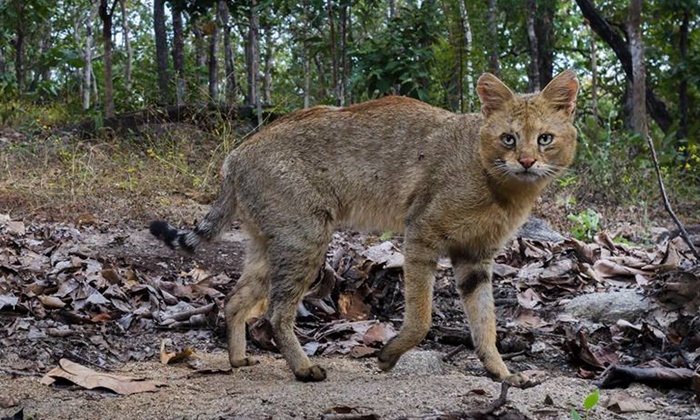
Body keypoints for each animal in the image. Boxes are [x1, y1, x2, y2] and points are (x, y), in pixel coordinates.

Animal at [149, 69, 580, 384]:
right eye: (508, 139)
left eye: (545, 139)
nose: (526, 161)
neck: (500, 187)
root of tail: (235, 155)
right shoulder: (421, 236)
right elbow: (421, 318)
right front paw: (388, 356)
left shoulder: (476, 258)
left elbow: (485, 324)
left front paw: (501, 372)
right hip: (306, 241)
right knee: (276, 312)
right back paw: (303, 368)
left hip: (270, 247)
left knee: (235, 301)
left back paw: (238, 359)